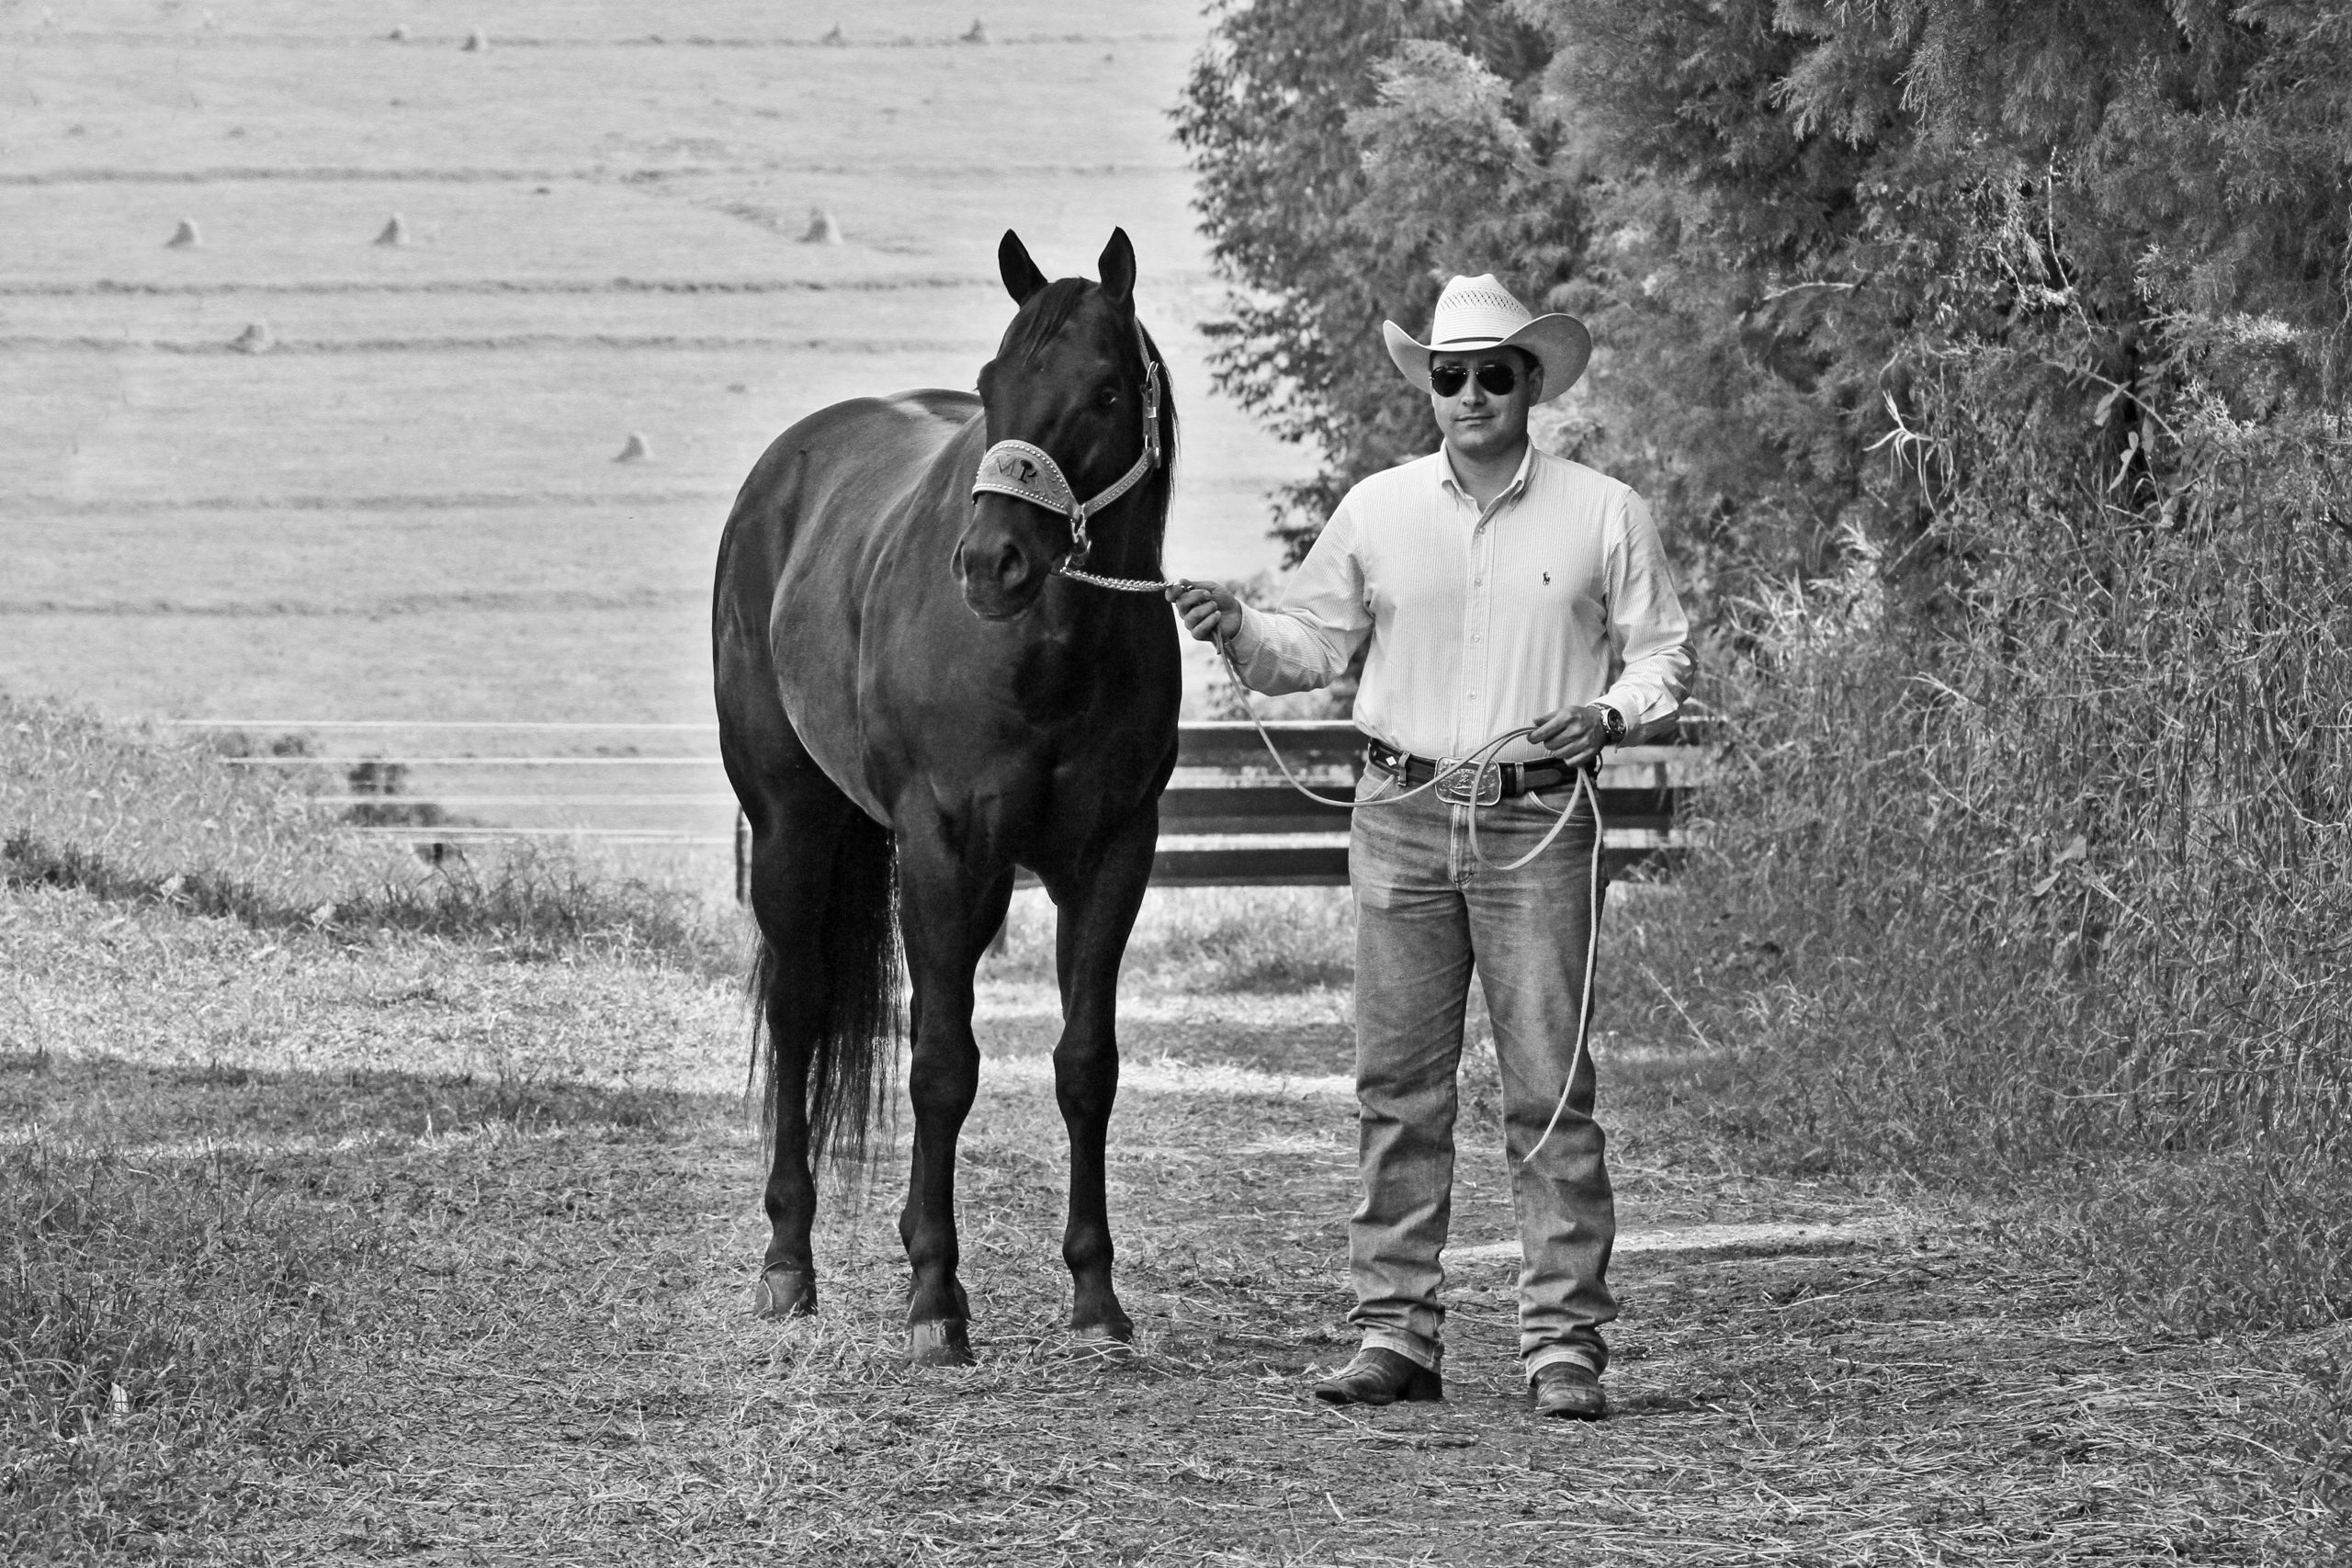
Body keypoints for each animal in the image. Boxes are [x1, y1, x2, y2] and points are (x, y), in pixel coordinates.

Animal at [700, 230, 1170, 1363]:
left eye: (1105, 390)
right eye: (991, 385)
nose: (990, 562)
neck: (1046, 656)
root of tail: (783, 471)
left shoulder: (1112, 859)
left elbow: (1084, 1065)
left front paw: (1094, 1295)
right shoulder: (942, 847)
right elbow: (944, 1066)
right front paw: (934, 1304)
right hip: (793, 829)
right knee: (801, 1012)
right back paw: (789, 1263)